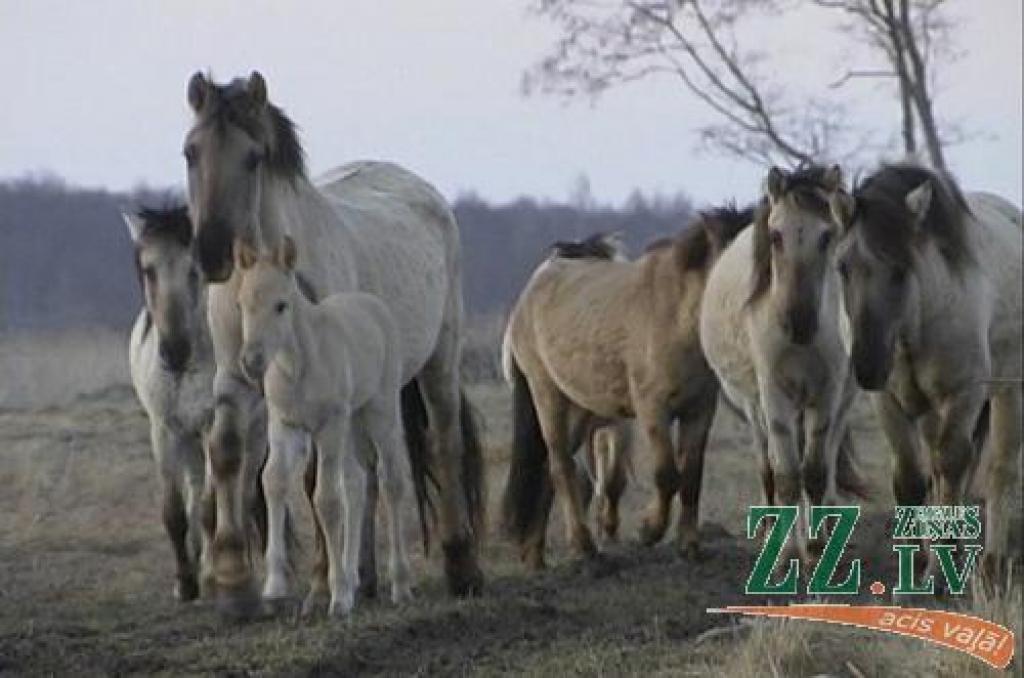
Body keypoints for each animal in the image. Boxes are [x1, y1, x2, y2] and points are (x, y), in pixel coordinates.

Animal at [501, 206, 753, 569]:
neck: (678, 316)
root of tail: (531, 289)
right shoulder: (652, 409)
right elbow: (667, 474)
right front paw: (649, 530)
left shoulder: (699, 410)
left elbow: (691, 477)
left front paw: (689, 545)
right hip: (546, 394)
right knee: (561, 466)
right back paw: (583, 545)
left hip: (581, 409)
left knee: (550, 472)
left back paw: (535, 553)